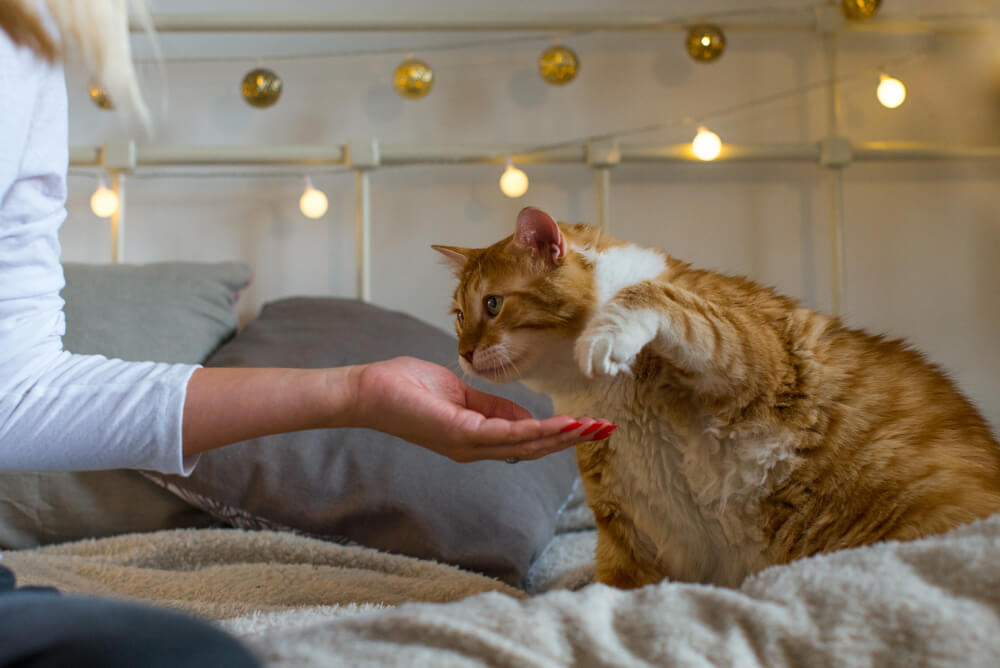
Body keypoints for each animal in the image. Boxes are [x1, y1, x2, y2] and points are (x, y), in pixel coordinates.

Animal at [434, 206, 1000, 588]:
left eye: (493, 304)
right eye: (459, 316)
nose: (463, 353)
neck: (598, 393)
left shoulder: (762, 353)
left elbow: (649, 296)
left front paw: (608, 334)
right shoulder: (635, 525)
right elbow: (614, 590)